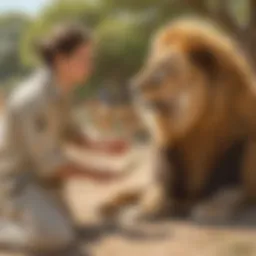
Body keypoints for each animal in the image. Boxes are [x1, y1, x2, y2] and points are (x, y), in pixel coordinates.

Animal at [99, 18, 256, 223]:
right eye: (149, 65)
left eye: (161, 71)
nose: (133, 86)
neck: (199, 122)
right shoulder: (165, 151)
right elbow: (155, 191)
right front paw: (144, 210)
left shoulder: (242, 147)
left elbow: (230, 192)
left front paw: (210, 209)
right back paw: (106, 205)